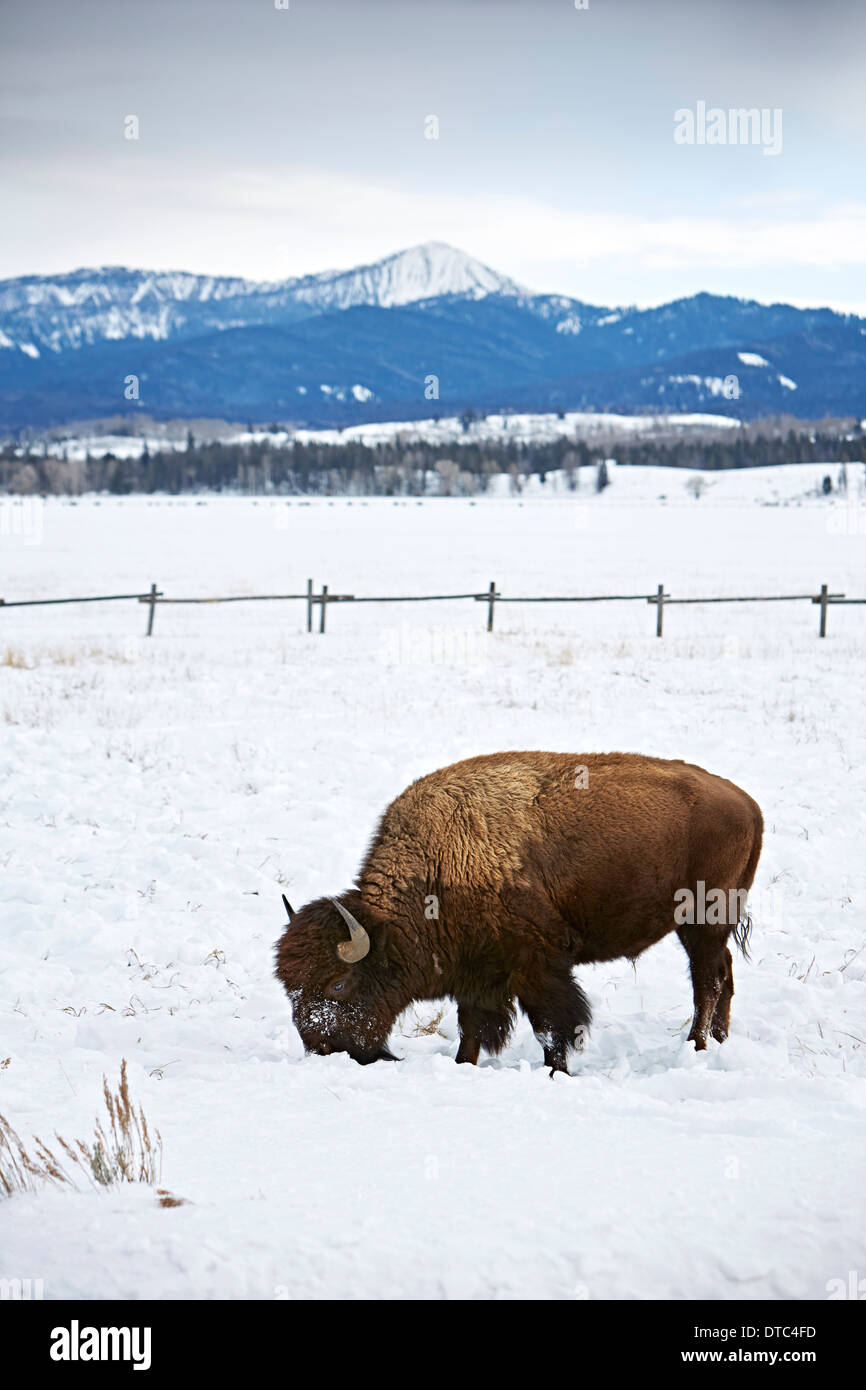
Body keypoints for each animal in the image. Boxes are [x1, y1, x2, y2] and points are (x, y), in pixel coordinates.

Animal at [275, 751, 763, 1074]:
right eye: (290, 990)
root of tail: (747, 803)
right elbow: (471, 1028)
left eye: (338, 983)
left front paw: (556, 1071)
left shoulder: (537, 966)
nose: (322, 1049)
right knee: (723, 975)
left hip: (702, 921)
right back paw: (718, 1041)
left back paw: (696, 1047)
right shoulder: (476, 971)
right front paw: (463, 1065)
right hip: (707, 926)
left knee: (707, 982)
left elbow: (552, 1025)